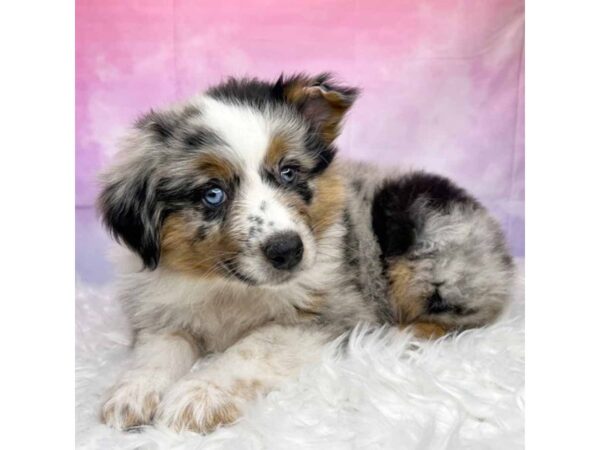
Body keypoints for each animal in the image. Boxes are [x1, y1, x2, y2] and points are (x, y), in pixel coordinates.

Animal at [98, 73, 516, 432]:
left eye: (289, 172)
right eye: (212, 193)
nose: (288, 251)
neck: (230, 286)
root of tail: (501, 251)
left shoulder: (327, 312)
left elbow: (253, 348)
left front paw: (199, 396)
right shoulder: (162, 310)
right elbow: (156, 351)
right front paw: (131, 395)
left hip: (423, 233)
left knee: (469, 315)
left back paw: (401, 337)